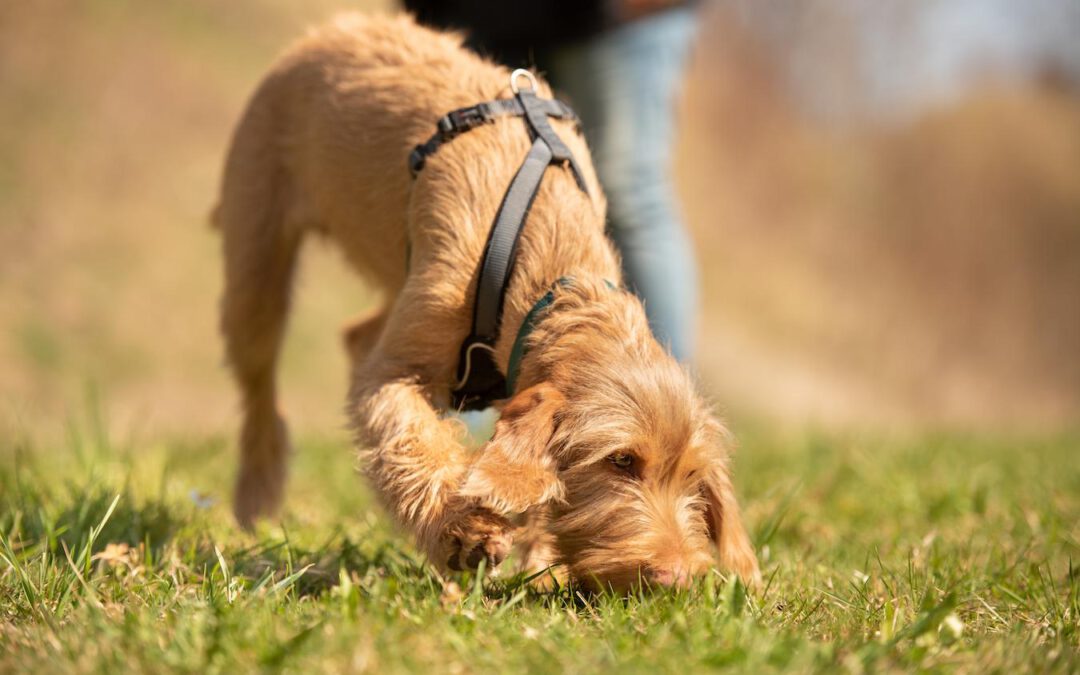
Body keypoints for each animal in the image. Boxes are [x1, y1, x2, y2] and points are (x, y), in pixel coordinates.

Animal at [212, 11, 760, 587]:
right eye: (621, 460)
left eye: (692, 475)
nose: (675, 578)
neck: (555, 275)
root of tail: (340, 25)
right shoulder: (393, 372)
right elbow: (411, 440)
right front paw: (461, 531)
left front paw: (539, 563)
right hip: (255, 256)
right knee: (261, 383)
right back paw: (255, 495)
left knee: (358, 334)